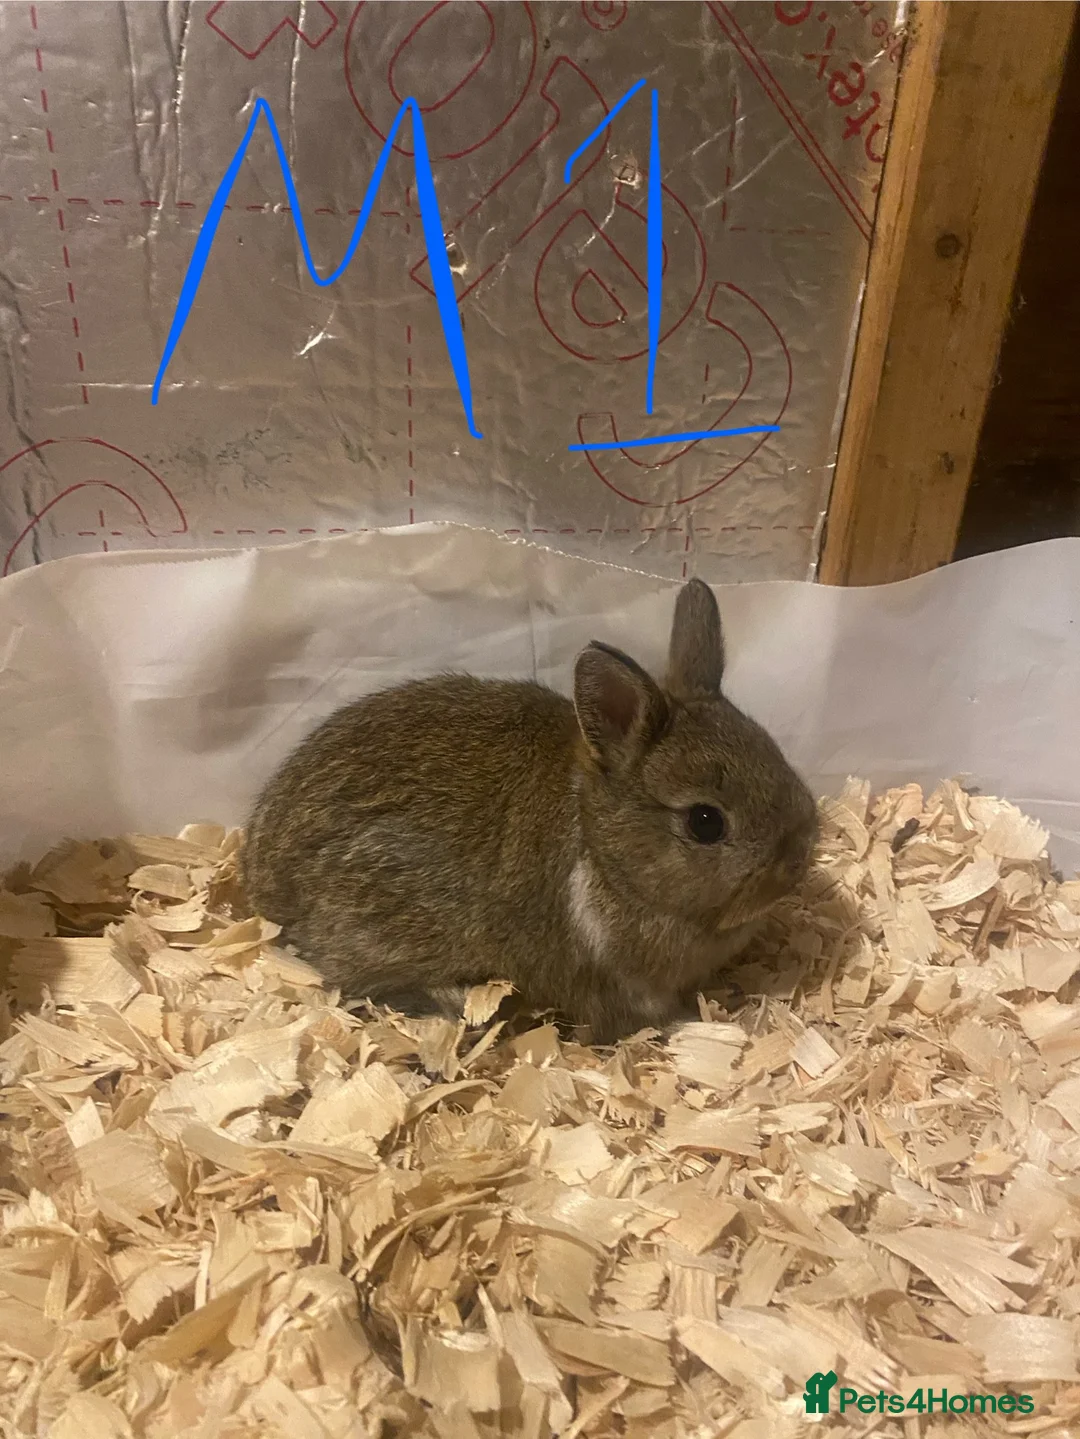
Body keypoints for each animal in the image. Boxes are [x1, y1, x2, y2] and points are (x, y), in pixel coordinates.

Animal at [240, 578, 818, 1044]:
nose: (798, 863)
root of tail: (260, 887)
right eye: (705, 822)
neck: (603, 849)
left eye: (775, 753)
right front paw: (697, 1025)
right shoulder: (612, 979)